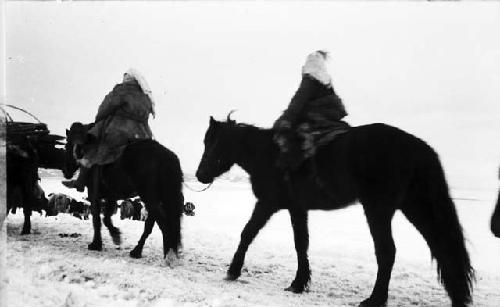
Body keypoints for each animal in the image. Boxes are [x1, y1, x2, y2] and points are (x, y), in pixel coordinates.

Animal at [63, 122, 185, 260]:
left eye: (67, 145)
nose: (66, 170)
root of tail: (166, 157)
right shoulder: (111, 196)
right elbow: (106, 218)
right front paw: (115, 235)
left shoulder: (94, 195)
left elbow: (97, 219)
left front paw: (96, 244)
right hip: (157, 199)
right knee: (152, 224)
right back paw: (139, 251)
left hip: (149, 198)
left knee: (162, 224)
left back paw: (166, 254)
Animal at [194, 116, 472, 307]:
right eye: (205, 142)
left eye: (215, 143)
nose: (200, 175)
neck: (270, 156)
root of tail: (417, 147)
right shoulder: (297, 209)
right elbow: (301, 244)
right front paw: (299, 283)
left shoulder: (267, 204)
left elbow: (248, 233)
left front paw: (233, 270)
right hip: (415, 207)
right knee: (442, 247)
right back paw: (457, 296)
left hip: (379, 210)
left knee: (387, 252)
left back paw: (375, 299)